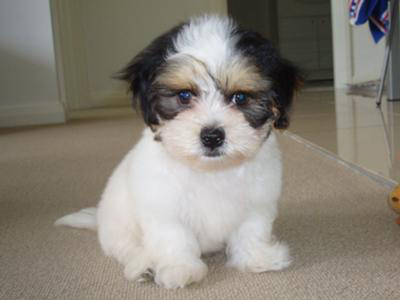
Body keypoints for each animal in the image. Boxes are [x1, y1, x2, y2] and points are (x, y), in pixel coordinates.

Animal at [56, 14, 300, 288]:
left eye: (240, 97)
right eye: (184, 95)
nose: (212, 136)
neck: (212, 170)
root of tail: (99, 218)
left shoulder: (258, 201)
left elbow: (251, 229)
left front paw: (257, 258)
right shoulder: (163, 205)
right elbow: (175, 237)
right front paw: (180, 268)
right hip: (119, 224)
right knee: (127, 247)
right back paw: (144, 265)